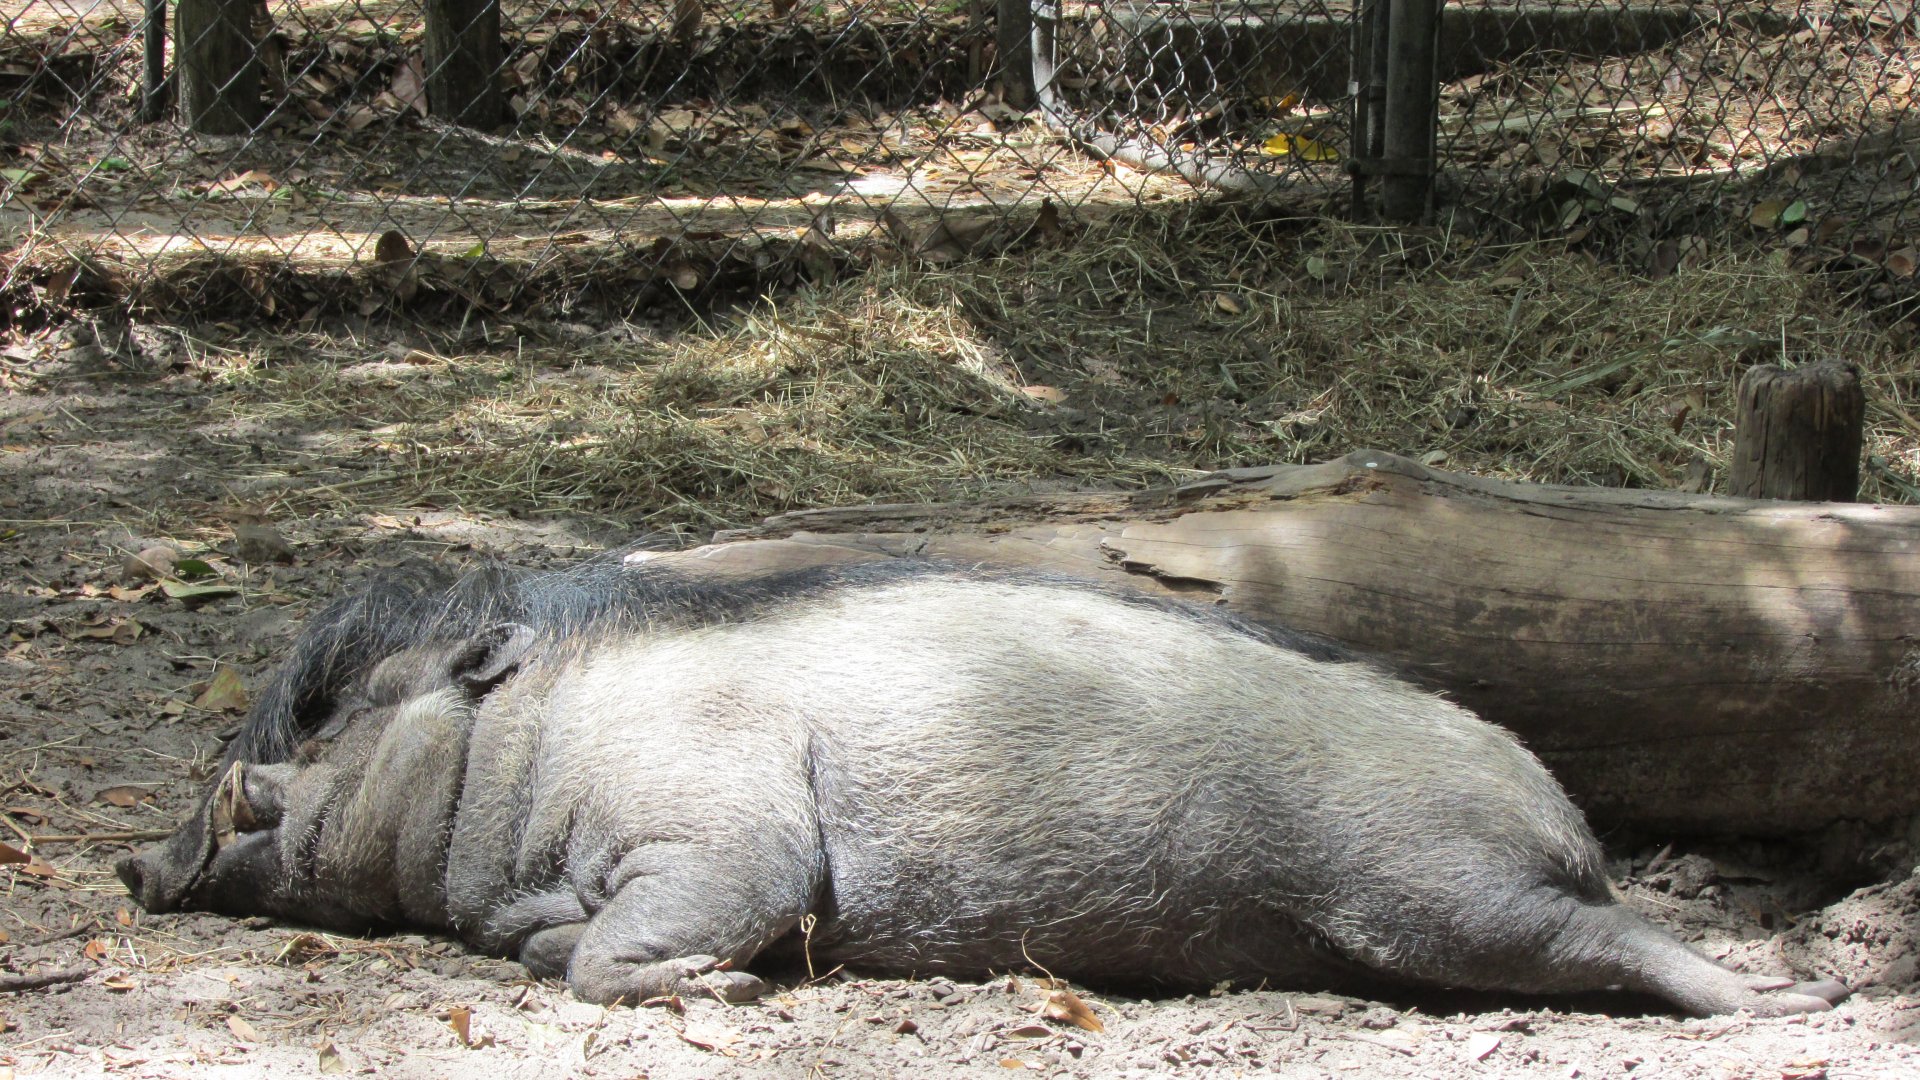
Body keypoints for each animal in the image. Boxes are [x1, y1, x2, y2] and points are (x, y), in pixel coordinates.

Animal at [120, 558, 1848, 1015]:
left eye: (338, 716)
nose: (139, 862)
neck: (535, 746)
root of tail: (1556, 806)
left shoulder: (728, 831)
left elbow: (638, 945)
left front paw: (715, 988)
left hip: (1432, 884)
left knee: (1601, 943)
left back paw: (1783, 1002)